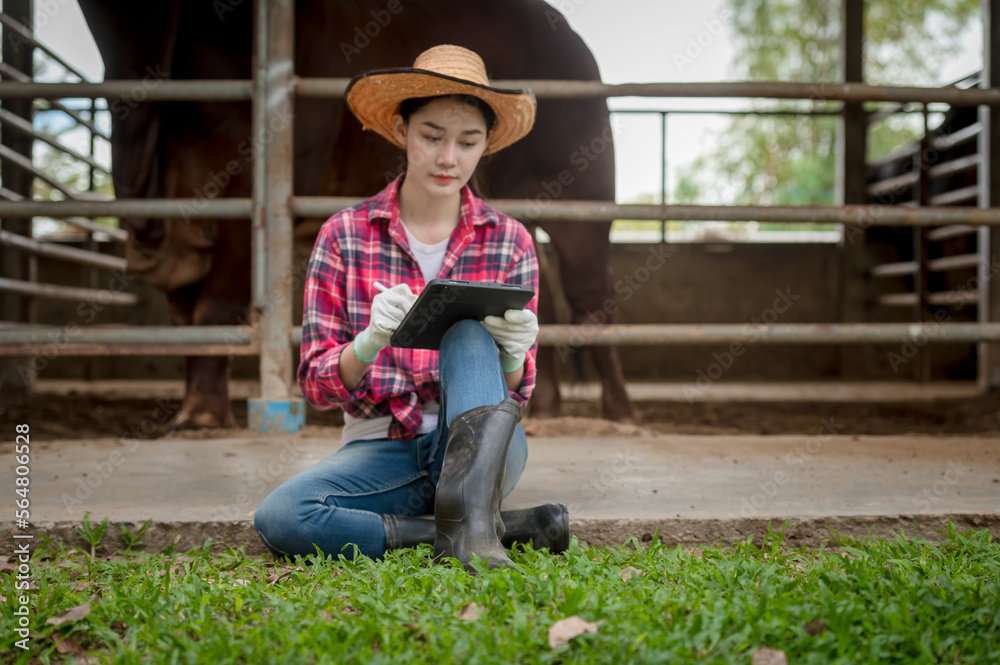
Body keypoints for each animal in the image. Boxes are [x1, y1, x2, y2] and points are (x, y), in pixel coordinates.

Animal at [78, 0, 632, 426]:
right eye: (434, 135)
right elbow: (189, 318)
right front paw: (197, 407)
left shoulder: (247, 187)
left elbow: (215, 305)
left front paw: (202, 412)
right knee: (551, 301)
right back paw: (549, 407)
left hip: (584, 197)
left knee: (591, 299)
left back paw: (619, 408)